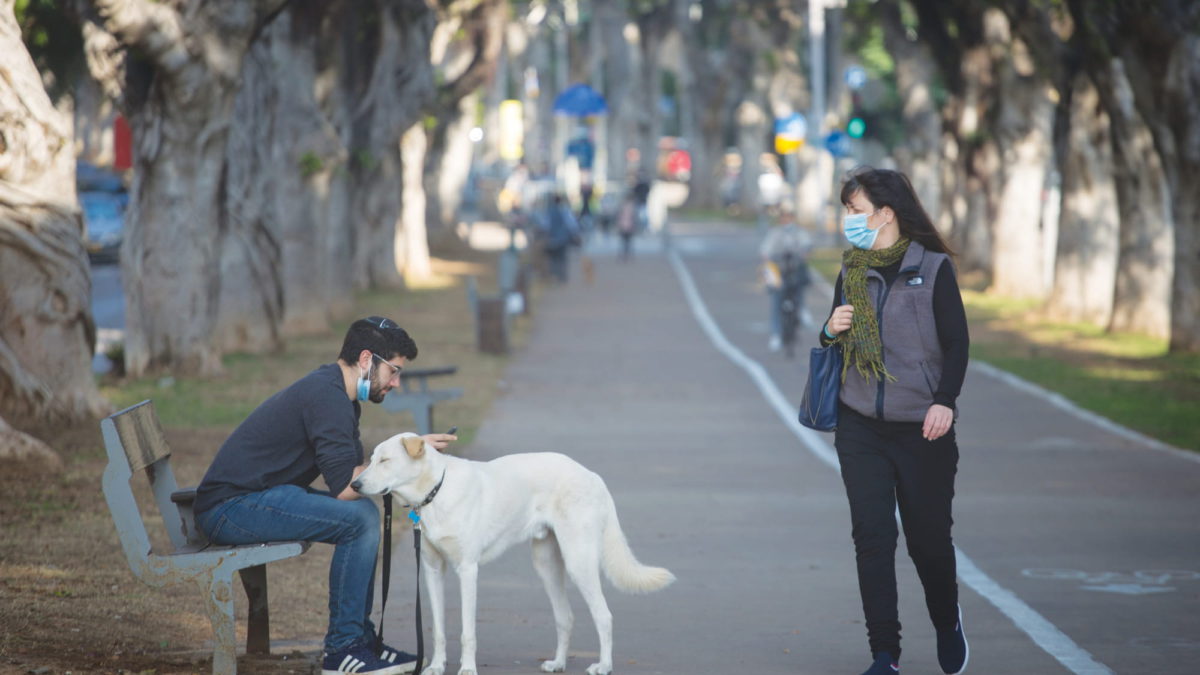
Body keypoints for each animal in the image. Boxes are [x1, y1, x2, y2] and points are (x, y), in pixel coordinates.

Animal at [352, 429, 676, 672]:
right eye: (371, 458)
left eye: (385, 460)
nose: (355, 484)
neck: (436, 491)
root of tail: (591, 474)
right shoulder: (432, 570)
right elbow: (438, 628)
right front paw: (435, 667)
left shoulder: (467, 570)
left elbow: (467, 631)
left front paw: (467, 668)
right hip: (546, 565)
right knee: (565, 617)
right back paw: (558, 663)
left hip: (578, 560)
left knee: (604, 615)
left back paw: (604, 666)